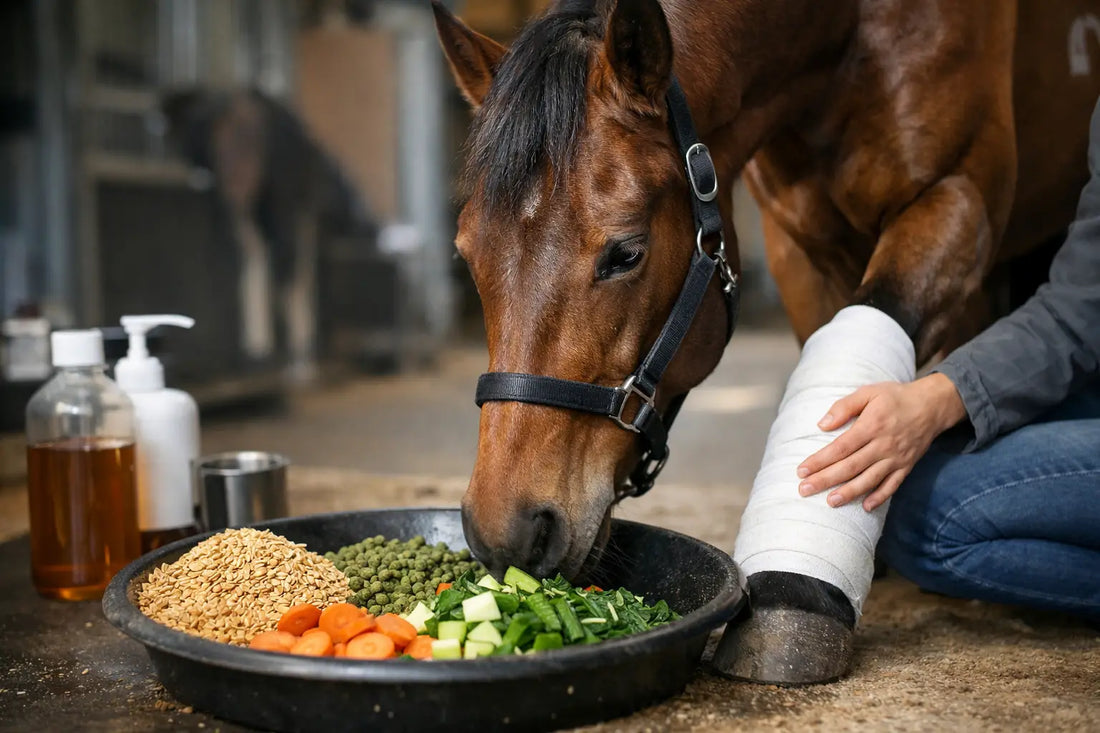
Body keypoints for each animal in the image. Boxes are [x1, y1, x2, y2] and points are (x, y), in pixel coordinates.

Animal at [433, 0, 1100, 684]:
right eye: (466, 255)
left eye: (626, 253)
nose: (507, 533)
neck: (840, 32)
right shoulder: (795, 241)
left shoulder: (956, 197)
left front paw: (797, 595)